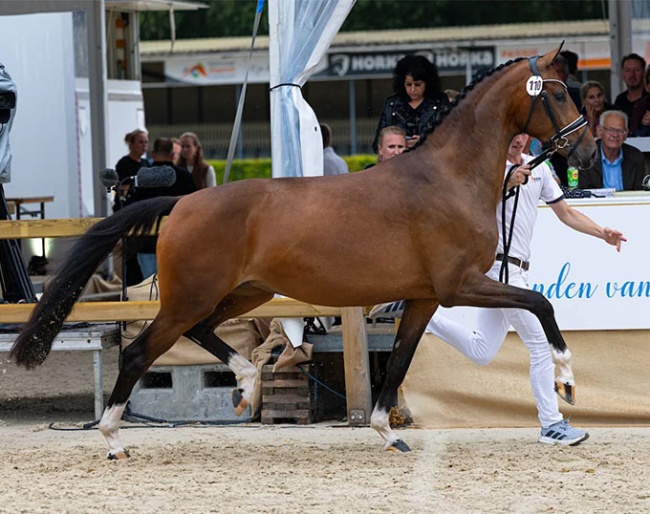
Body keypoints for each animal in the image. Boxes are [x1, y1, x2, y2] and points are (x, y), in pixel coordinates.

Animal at [11, 46, 595, 458]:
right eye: (558, 94)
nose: (587, 151)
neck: (448, 177)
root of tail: (184, 201)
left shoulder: (426, 297)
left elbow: (399, 360)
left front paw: (387, 433)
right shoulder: (460, 286)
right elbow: (541, 303)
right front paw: (567, 379)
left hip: (242, 293)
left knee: (203, 333)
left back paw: (246, 387)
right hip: (191, 297)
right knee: (138, 352)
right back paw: (114, 439)